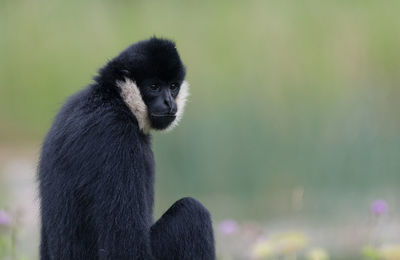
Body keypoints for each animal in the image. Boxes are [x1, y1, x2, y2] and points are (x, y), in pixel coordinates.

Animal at [38, 37, 216, 260]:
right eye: (154, 87)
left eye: (173, 86)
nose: (169, 102)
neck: (114, 99)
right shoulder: (116, 137)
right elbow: (124, 250)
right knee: (192, 211)